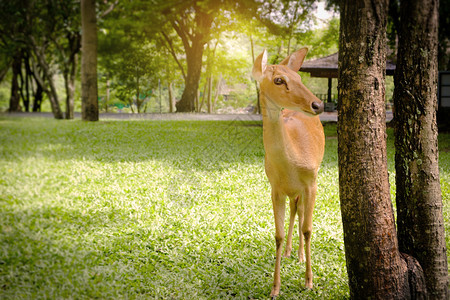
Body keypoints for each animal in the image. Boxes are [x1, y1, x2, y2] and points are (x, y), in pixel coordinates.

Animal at [251, 48, 326, 296]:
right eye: (278, 80)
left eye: (299, 78)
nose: (318, 105)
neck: (291, 164)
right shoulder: (275, 187)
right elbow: (278, 234)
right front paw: (275, 288)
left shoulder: (311, 182)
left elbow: (308, 229)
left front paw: (309, 281)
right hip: (291, 191)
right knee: (295, 210)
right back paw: (289, 252)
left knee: (301, 213)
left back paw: (301, 256)